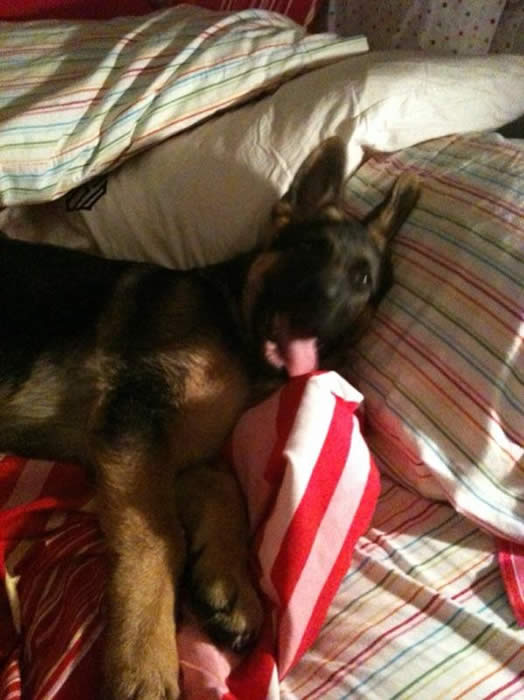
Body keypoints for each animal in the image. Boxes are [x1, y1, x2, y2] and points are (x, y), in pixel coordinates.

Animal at [0, 138, 419, 699]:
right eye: (310, 250)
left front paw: (230, 584)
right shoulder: (134, 424)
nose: (321, 302)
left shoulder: (169, 454)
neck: (235, 324)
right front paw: (145, 658)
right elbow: (159, 537)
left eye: (363, 279)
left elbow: (225, 489)